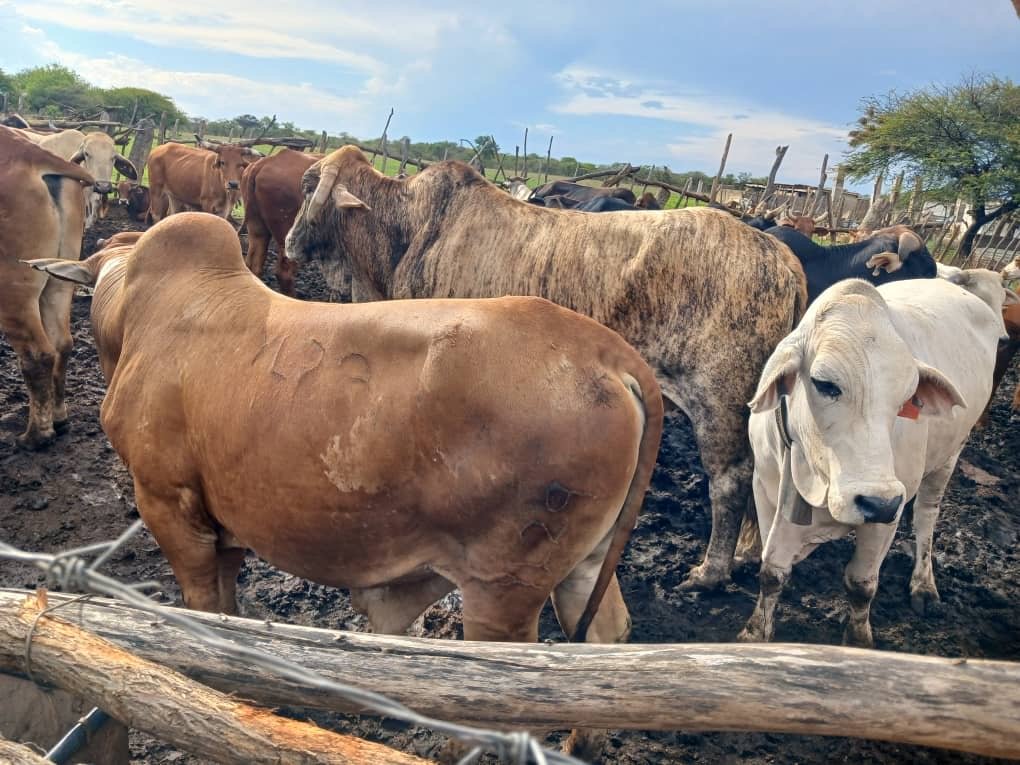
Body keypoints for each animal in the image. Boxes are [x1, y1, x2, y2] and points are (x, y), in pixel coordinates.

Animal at [0, 126, 93, 448]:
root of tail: (31, 152)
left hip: (13, 291)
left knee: (38, 355)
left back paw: (36, 436)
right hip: (58, 282)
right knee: (62, 344)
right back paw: (59, 418)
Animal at [29, 212, 664, 654]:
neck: (132, 313)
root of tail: (606, 351)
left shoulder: (166, 499)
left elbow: (203, 601)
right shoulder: (222, 515)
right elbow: (228, 596)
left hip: (502, 587)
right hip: (585, 561)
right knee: (607, 634)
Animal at [284, 145, 808, 590]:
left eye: (309, 186)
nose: (289, 242)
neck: (407, 230)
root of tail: (779, 254)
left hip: (720, 401)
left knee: (732, 480)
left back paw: (711, 571)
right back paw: (747, 553)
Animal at [739, 276, 1008, 647]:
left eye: (907, 398)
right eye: (824, 384)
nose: (877, 502)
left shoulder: (886, 517)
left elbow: (861, 584)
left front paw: (858, 640)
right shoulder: (765, 492)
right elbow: (772, 571)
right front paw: (755, 633)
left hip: (949, 456)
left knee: (926, 516)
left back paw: (923, 584)